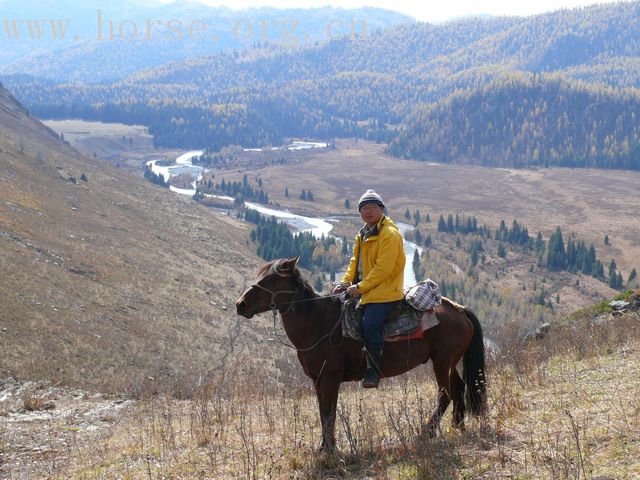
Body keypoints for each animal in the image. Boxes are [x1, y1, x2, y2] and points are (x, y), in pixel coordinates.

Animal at [235, 256, 484, 452]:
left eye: (271, 280)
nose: (240, 304)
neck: (317, 323)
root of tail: (459, 309)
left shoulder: (330, 379)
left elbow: (329, 413)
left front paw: (330, 449)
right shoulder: (318, 380)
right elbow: (323, 412)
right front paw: (324, 447)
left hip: (442, 362)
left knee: (445, 394)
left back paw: (426, 432)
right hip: (449, 362)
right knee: (458, 388)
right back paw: (457, 427)